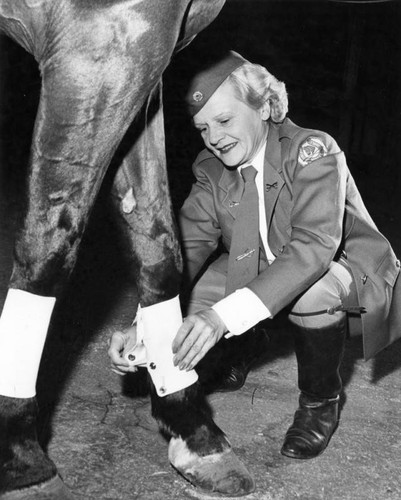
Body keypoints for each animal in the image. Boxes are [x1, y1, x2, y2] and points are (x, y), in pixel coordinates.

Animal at [0, 1, 253, 498]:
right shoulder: (100, 46)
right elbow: (50, 247)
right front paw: (21, 458)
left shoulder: (142, 59)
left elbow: (158, 245)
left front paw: (191, 426)